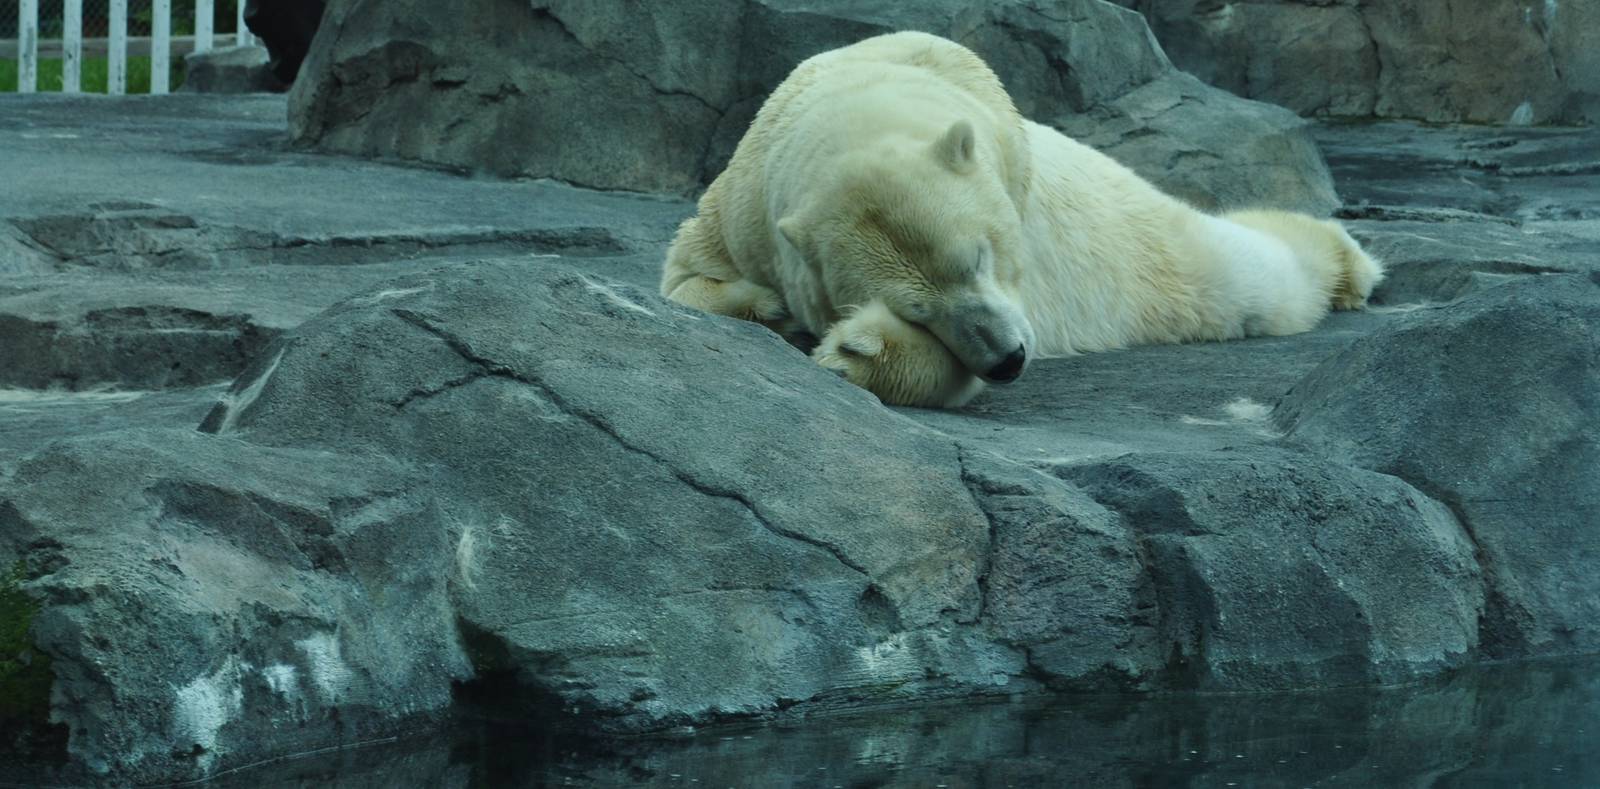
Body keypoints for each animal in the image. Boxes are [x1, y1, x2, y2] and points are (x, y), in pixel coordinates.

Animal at [660, 31, 1382, 408]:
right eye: (918, 309)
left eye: (977, 257)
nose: (1008, 359)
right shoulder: (743, 211)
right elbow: (684, 279)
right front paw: (770, 309)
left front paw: (858, 350)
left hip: (1137, 244)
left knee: (1247, 276)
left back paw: (1350, 266)